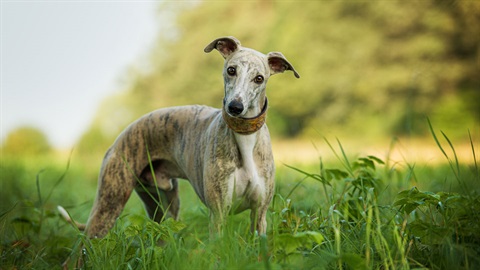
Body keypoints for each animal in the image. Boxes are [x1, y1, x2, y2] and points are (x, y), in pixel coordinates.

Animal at [62, 36, 298, 240]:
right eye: (231, 70)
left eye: (259, 78)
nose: (235, 107)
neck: (244, 136)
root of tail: (121, 136)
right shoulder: (219, 212)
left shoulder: (260, 214)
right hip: (110, 201)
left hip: (164, 206)